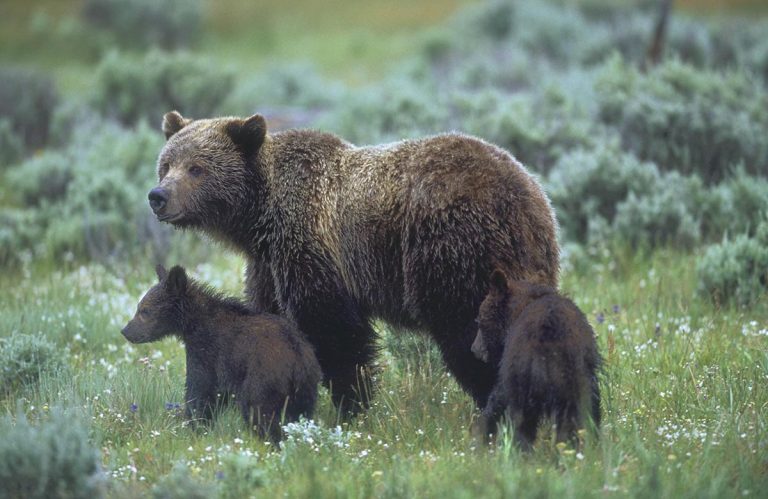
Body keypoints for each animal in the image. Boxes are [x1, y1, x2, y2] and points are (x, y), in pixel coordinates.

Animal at [121, 266, 324, 442]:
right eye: (139, 307)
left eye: (144, 311)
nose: (126, 331)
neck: (194, 323)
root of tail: (297, 361)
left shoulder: (206, 352)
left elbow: (201, 390)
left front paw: (194, 426)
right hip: (307, 387)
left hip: (264, 378)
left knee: (258, 410)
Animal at [150, 111, 560, 416]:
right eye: (166, 164)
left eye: (197, 168)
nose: (158, 196)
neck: (259, 217)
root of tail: (520, 193)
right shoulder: (268, 264)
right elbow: (268, 316)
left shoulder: (312, 246)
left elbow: (334, 332)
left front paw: (352, 406)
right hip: (531, 255)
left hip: (450, 249)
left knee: (466, 328)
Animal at [472, 272, 604, 452]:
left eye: (479, 320)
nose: (474, 349)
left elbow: (499, 396)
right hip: (573, 378)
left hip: (527, 375)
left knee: (522, 419)